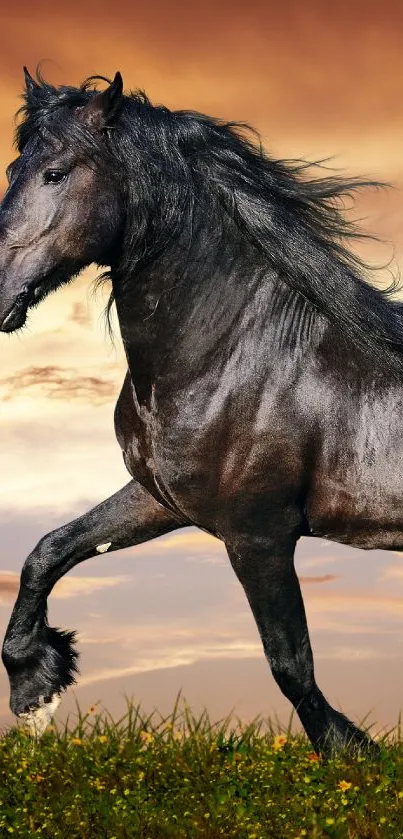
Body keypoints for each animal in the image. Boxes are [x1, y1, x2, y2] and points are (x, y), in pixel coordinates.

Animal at [0, 69, 400, 756]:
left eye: (55, 173)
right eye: (12, 170)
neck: (235, 352)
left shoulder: (259, 534)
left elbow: (290, 664)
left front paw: (351, 753)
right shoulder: (161, 499)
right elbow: (49, 550)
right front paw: (35, 686)